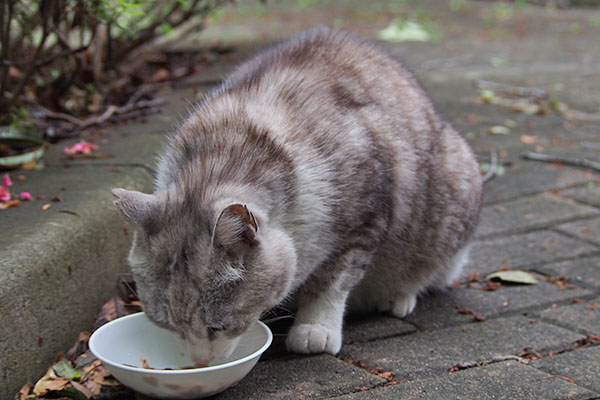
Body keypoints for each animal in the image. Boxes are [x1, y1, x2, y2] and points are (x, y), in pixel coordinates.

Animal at [112, 27, 482, 366]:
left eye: (217, 327)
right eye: (167, 325)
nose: (200, 363)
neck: (223, 157)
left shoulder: (364, 217)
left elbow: (333, 279)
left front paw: (315, 327)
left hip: (452, 192)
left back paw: (399, 294)